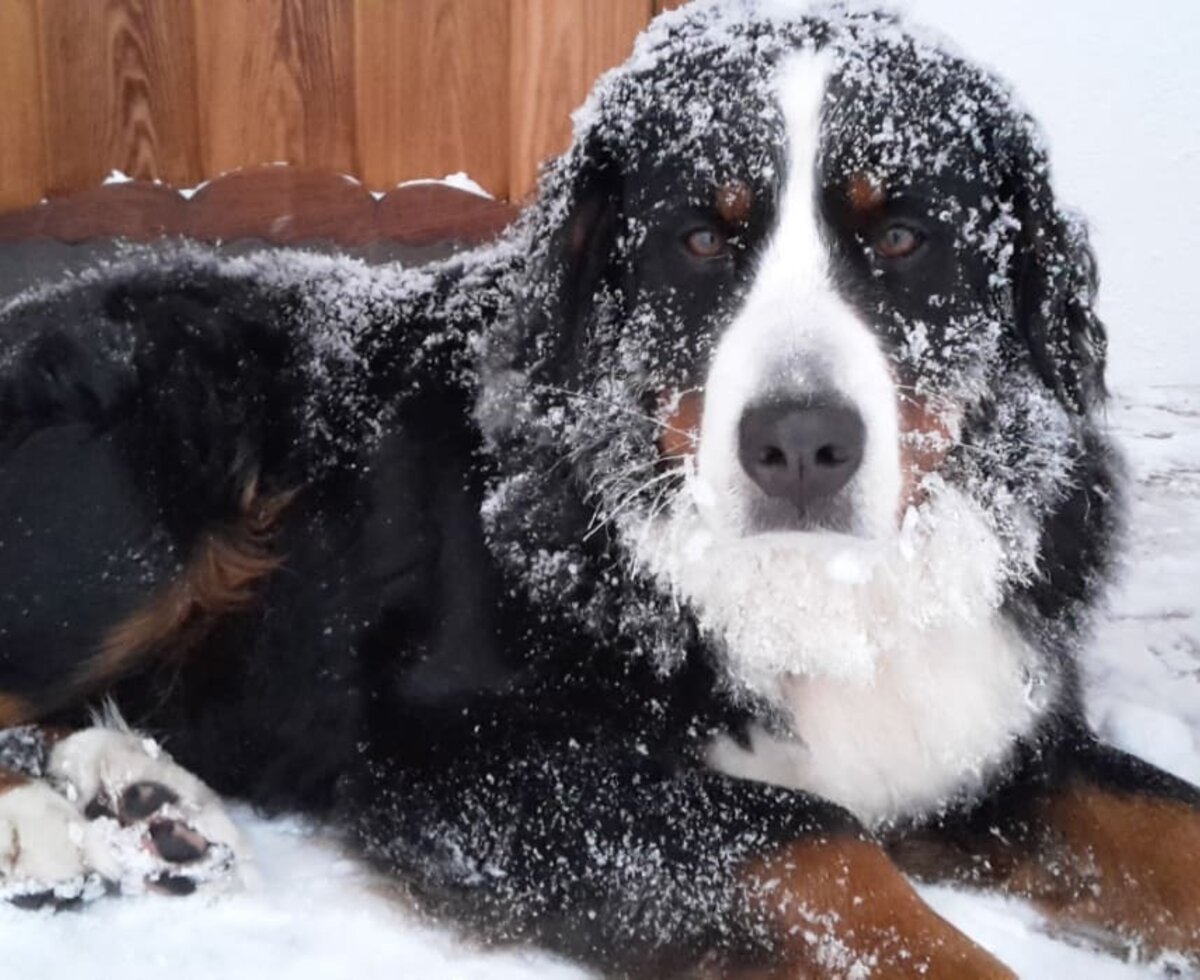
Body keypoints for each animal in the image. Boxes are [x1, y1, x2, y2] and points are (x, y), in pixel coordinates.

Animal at [2, 3, 1200, 974]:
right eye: (702, 238)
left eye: (902, 234)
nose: (800, 445)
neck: (816, 588)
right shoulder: (461, 757)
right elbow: (811, 843)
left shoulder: (990, 735)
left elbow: (1166, 820)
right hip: (149, 490)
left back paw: (145, 800)